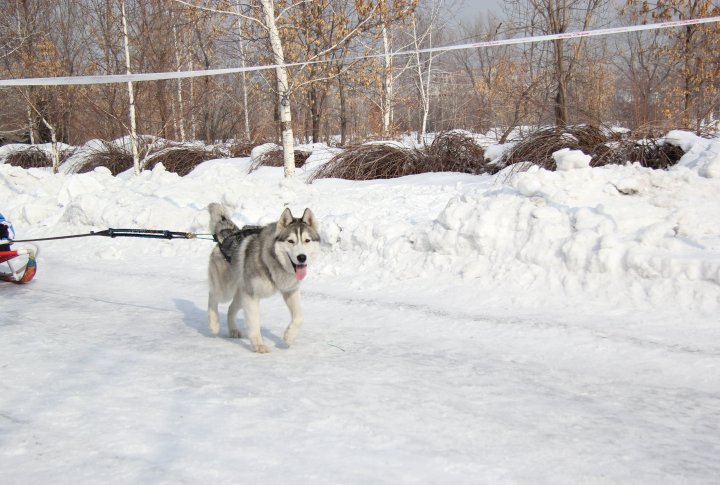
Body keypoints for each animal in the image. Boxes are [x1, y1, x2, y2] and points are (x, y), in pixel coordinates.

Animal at [208, 202, 320, 354]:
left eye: (307, 240)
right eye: (291, 241)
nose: (301, 257)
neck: (273, 261)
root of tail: (227, 235)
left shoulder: (290, 291)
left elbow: (299, 317)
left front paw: (289, 336)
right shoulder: (251, 296)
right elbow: (254, 323)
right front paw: (258, 345)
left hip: (241, 293)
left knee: (230, 308)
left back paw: (233, 330)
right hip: (226, 289)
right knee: (213, 295)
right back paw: (213, 324)